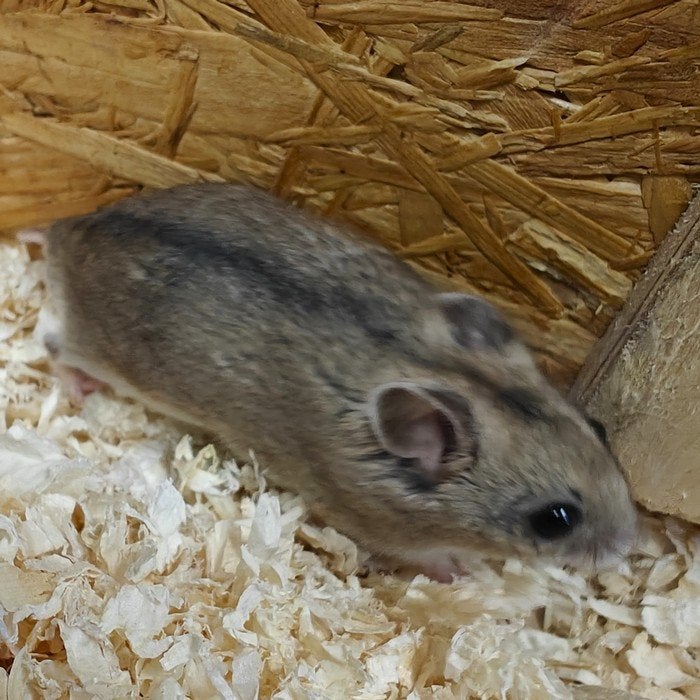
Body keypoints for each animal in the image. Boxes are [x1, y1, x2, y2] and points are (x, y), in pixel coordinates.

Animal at [40, 183, 638, 581]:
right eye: (555, 519)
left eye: (600, 428)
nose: (631, 548)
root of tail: (70, 228)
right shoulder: (380, 526)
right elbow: (428, 558)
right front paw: (463, 573)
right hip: (101, 351)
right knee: (56, 347)